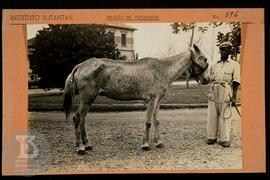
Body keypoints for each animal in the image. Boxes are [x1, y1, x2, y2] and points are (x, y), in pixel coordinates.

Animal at [63, 44, 211, 155]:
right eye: (203, 59)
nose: (207, 79)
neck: (161, 69)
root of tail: (80, 66)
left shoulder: (158, 101)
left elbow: (156, 121)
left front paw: (159, 142)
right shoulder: (151, 101)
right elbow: (148, 122)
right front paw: (145, 144)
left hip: (89, 99)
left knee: (82, 119)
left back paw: (87, 144)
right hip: (87, 99)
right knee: (77, 118)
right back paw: (81, 148)